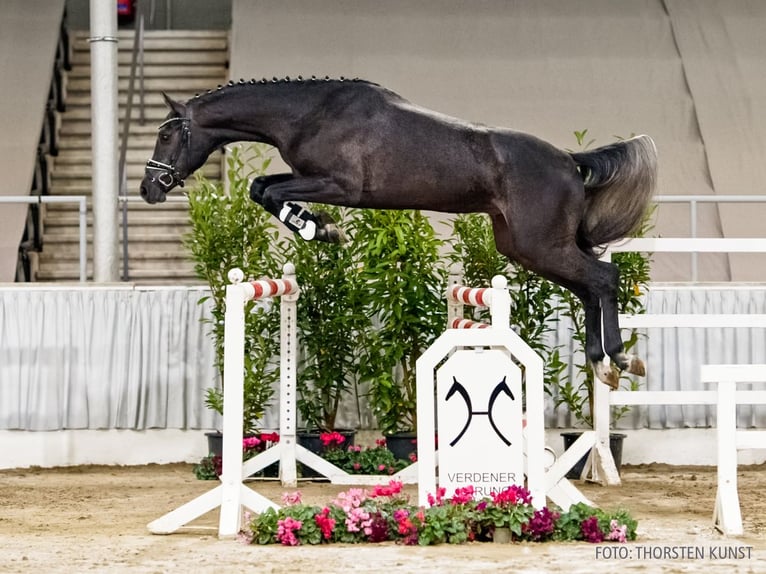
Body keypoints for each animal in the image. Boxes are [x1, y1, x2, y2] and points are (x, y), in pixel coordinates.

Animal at [140, 76, 657, 389]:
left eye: (166, 135)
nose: (148, 188)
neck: (308, 113)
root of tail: (570, 161)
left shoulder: (339, 185)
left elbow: (268, 191)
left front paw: (318, 229)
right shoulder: (314, 180)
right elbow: (263, 188)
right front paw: (318, 228)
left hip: (542, 246)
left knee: (603, 280)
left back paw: (620, 359)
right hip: (526, 248)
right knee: (589, 288)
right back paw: (601, 364)